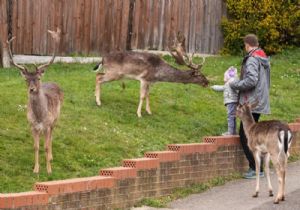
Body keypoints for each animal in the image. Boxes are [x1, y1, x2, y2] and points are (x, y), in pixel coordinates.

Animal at [6, 27, 62, 174]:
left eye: (38, 78)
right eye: (26, 79)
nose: (31, 89)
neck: (40, 116)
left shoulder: (47, 124)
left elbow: (47, 146)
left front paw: (49, 169)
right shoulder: (32, 125)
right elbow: (36, 147)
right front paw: (36, 169)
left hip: (56, 118)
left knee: (51, 136)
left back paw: (51, 157)